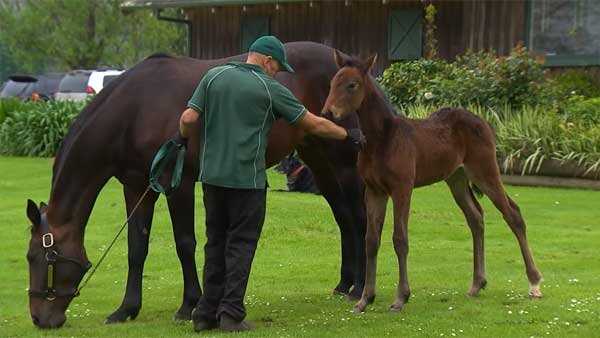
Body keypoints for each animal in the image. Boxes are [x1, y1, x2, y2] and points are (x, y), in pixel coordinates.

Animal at [25, 41, 366, 328]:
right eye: (30, 257)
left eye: (42, 257)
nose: (40, 319)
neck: (135, 109)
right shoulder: (137, 188)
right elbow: (136, 248)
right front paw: (126, 309)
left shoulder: (177, 183)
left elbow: (185, 243)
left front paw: (189, 305)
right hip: (318, 160)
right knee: (343, 217)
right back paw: (344, 283)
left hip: (344, 163)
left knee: (359, 218)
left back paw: (360, 287)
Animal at [324, 50, 544, 314]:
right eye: (332, 83)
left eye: (352, 84)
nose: (327, 113)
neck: (382, 139)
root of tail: (482, 122)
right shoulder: (375, 191)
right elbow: (371, 240)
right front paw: (365, 299)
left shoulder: (402, 189)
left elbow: (400, 239)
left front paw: (401, 298)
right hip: (457, 179)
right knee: (476, 217)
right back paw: (477, 284)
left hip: (485, 172)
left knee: (513, 214)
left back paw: (534, 283)